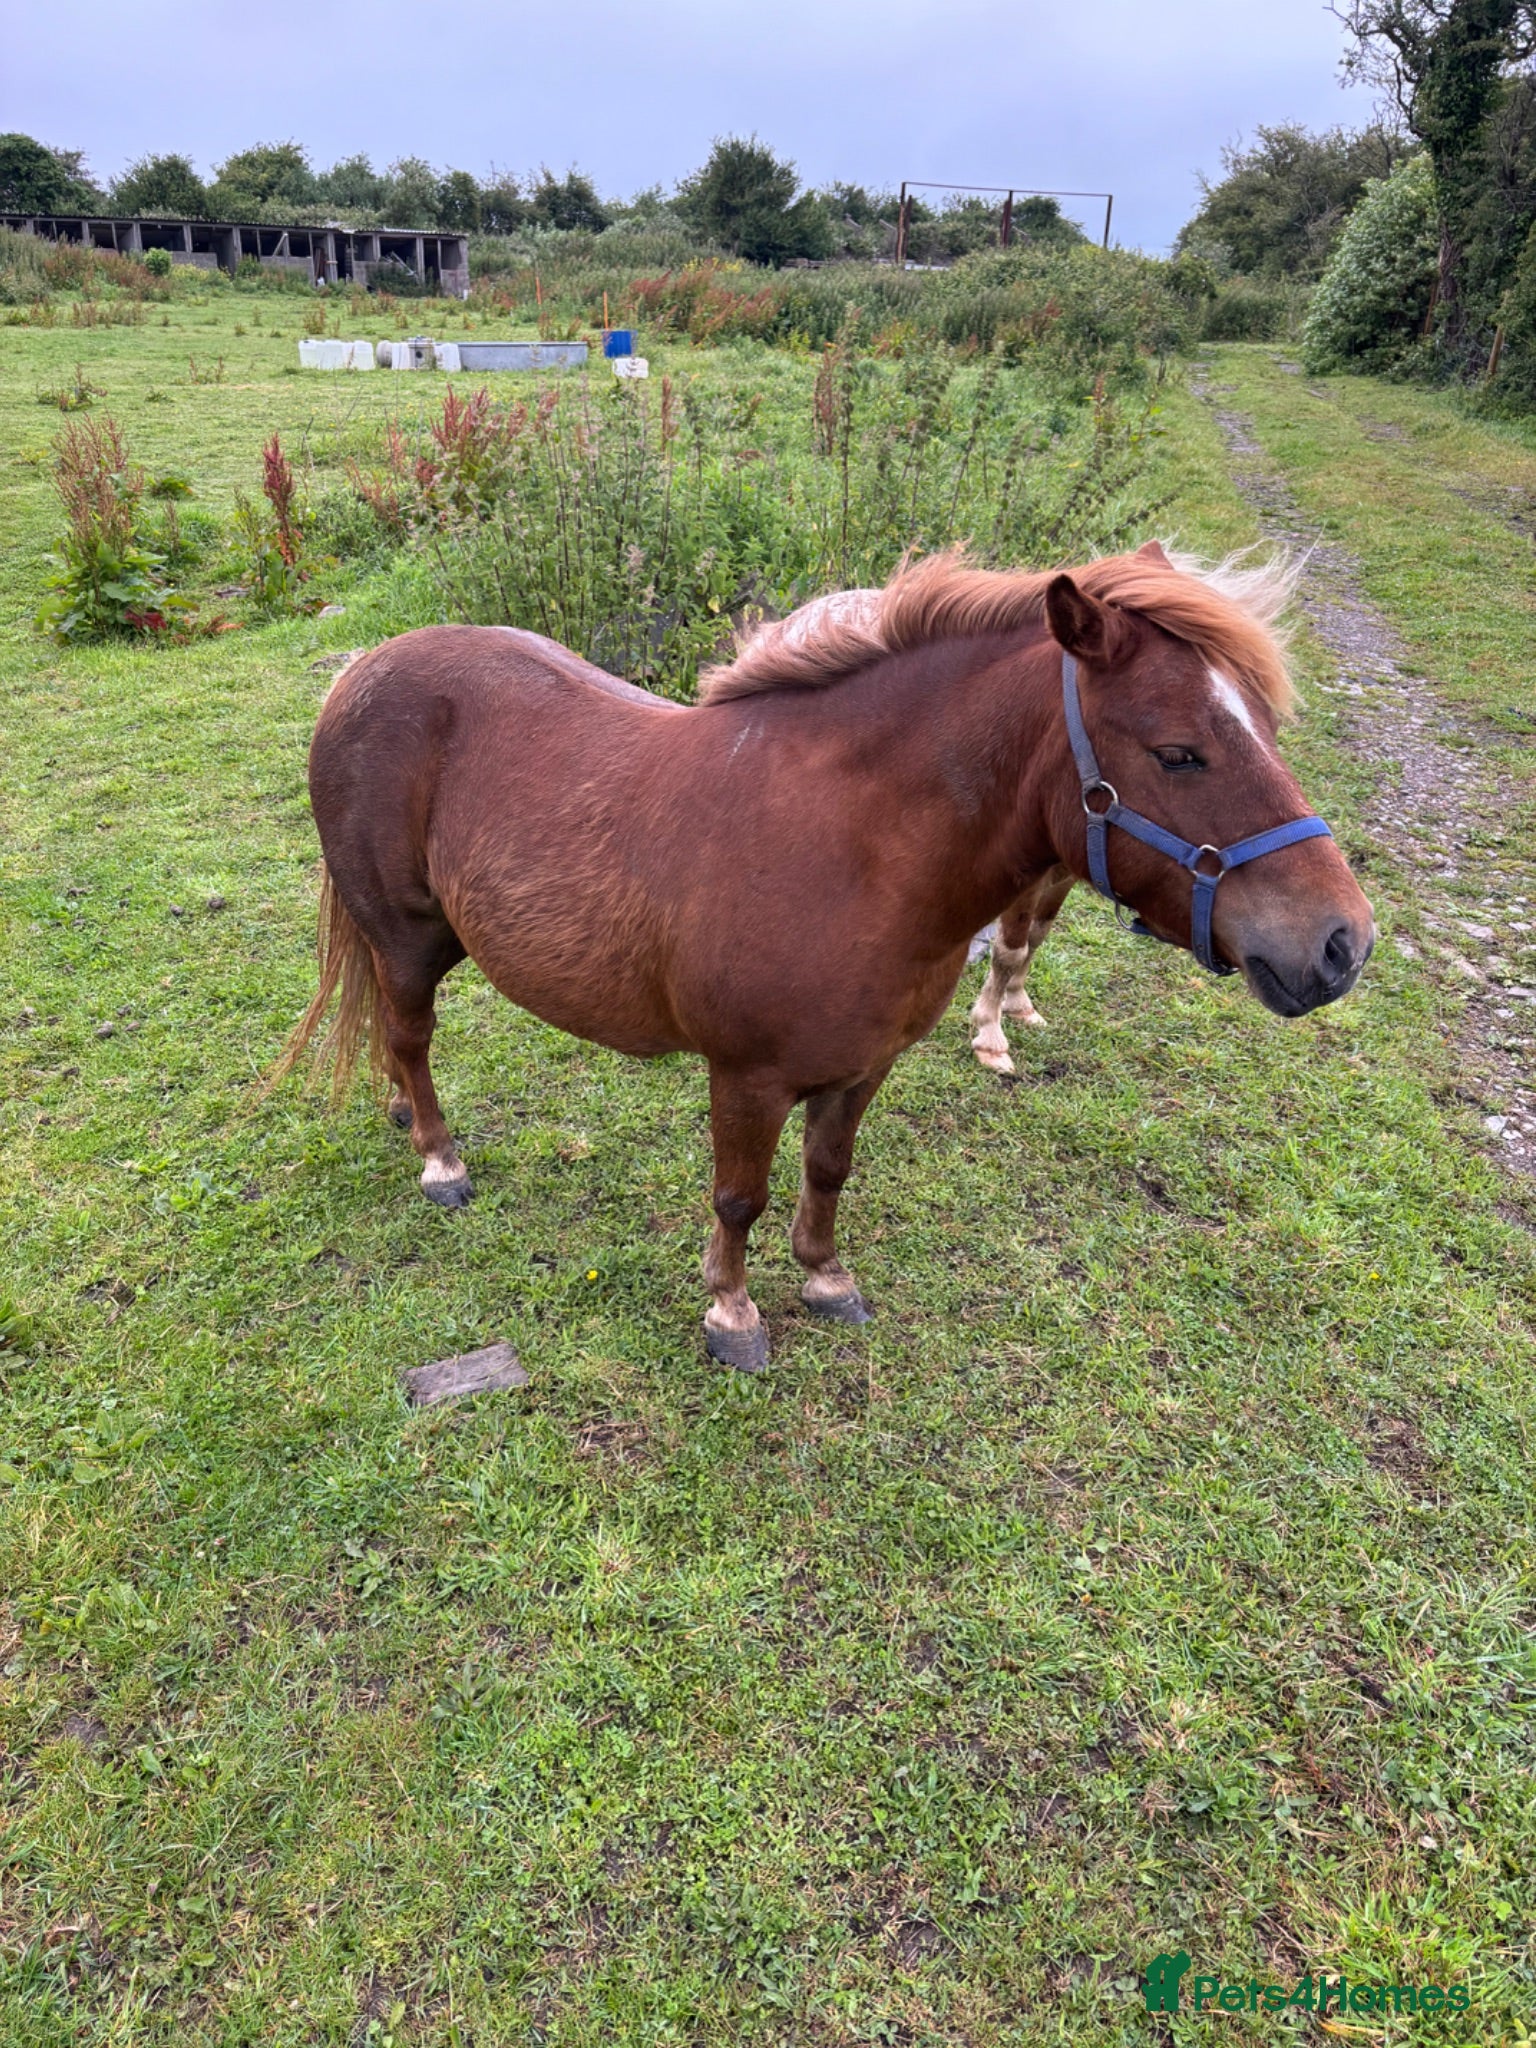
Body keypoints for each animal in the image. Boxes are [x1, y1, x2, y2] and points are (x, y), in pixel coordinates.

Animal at [276, 541, 1373, 1372]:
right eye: (1180, 751)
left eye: (1265, 726)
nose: (1342, 943)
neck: (853, 847)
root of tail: (362, 670)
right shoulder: (746, 1075)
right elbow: (740, 1195)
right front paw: (732, 1312)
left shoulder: (862, 1062)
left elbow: (829, 1170)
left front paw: (824, 1275)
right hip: (407, 938)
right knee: (411, 1034)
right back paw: (439, 1156)